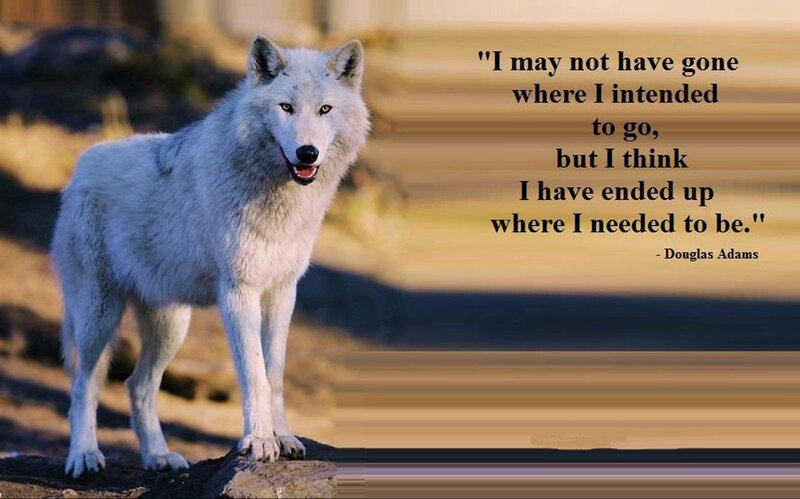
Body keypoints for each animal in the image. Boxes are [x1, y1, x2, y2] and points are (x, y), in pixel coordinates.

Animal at [50, 36, 369, 478]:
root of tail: (81, 166)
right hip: (98, 316)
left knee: (137, 385)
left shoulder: (283, 292)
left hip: (170, 326)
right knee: (84, 384)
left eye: (325, 109)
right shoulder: (238, 292)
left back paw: (159, 456)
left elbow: (275, 373)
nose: (307, 153)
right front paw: (259, 441)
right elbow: (254, 373)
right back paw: (83, 455)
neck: (280, 201)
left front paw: (284, 437)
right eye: (286, 107)